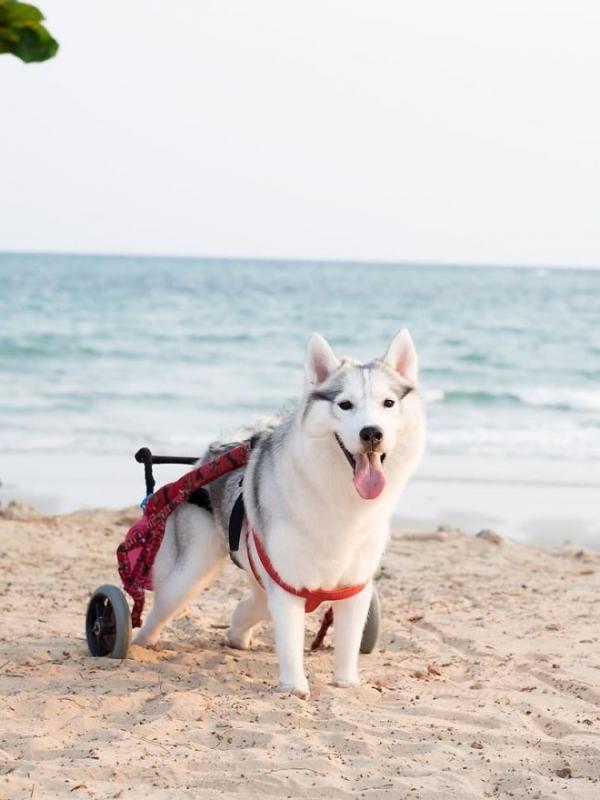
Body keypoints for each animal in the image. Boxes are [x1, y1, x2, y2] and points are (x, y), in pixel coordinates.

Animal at [136, 328, 426, 696]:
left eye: (388, 403)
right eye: (345, 404)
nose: (372, 433)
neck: (341, 501)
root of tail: (212, 454)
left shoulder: (355, 586)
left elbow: (348, 640)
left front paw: (346, 681)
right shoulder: (287, 586)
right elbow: (289, 638)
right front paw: (294, 686)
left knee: (252, 605)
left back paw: (236, 633)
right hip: (188, 574)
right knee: (162, 607)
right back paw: (137, 642)